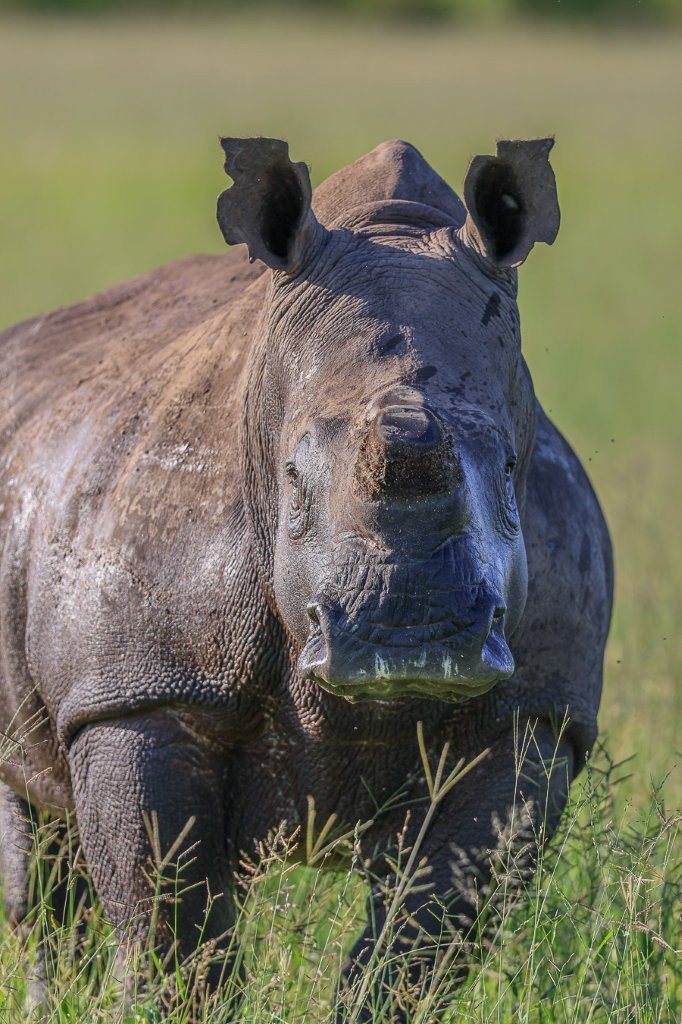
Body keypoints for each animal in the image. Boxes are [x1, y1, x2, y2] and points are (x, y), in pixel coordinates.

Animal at [0, 136, 612, 1020]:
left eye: (507, 474)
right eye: (290, 480)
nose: (408, 641)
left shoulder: (532, 719)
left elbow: (423, 940)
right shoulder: (139, 688)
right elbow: (171, 930)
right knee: (42, 849)